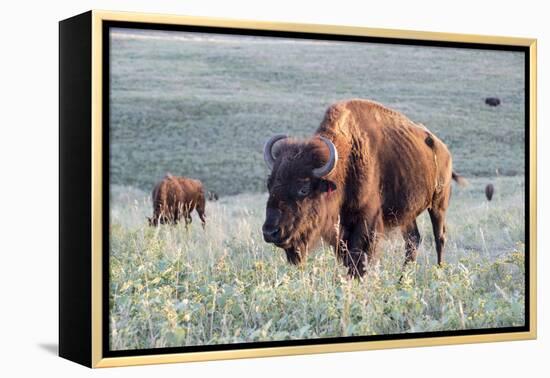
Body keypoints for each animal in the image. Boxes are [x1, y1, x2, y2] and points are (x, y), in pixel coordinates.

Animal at [264, 99, 466, 280]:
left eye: (304, 189)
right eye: (270, 184)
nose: (270, 232)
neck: (346, 162)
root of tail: (444, 150)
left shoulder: (367, 221)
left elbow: (359, 257)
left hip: (438, 205)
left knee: (439, 238)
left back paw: (439, 272)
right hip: (408, 215)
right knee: (413, 241)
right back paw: (401, 280)